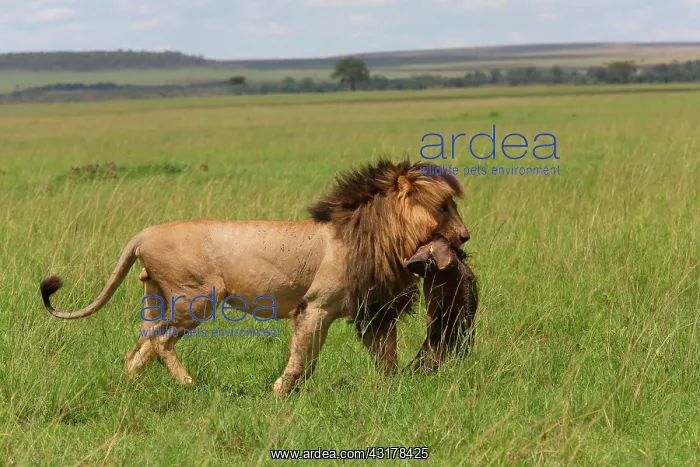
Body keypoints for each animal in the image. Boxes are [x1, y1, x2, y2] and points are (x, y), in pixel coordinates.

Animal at [39, 158, 470, 395]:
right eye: (445, 207)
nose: (465, 236)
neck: (375, 235)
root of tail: (142, 234)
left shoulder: (366, 309)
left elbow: (380, 355)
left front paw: (388, 390)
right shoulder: (316, 307)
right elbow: (301, 356)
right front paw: (280, 393)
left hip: (158, 296)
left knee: (142, 343)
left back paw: (131, 384)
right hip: (196, 298)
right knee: (161, 340)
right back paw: (188, 384)